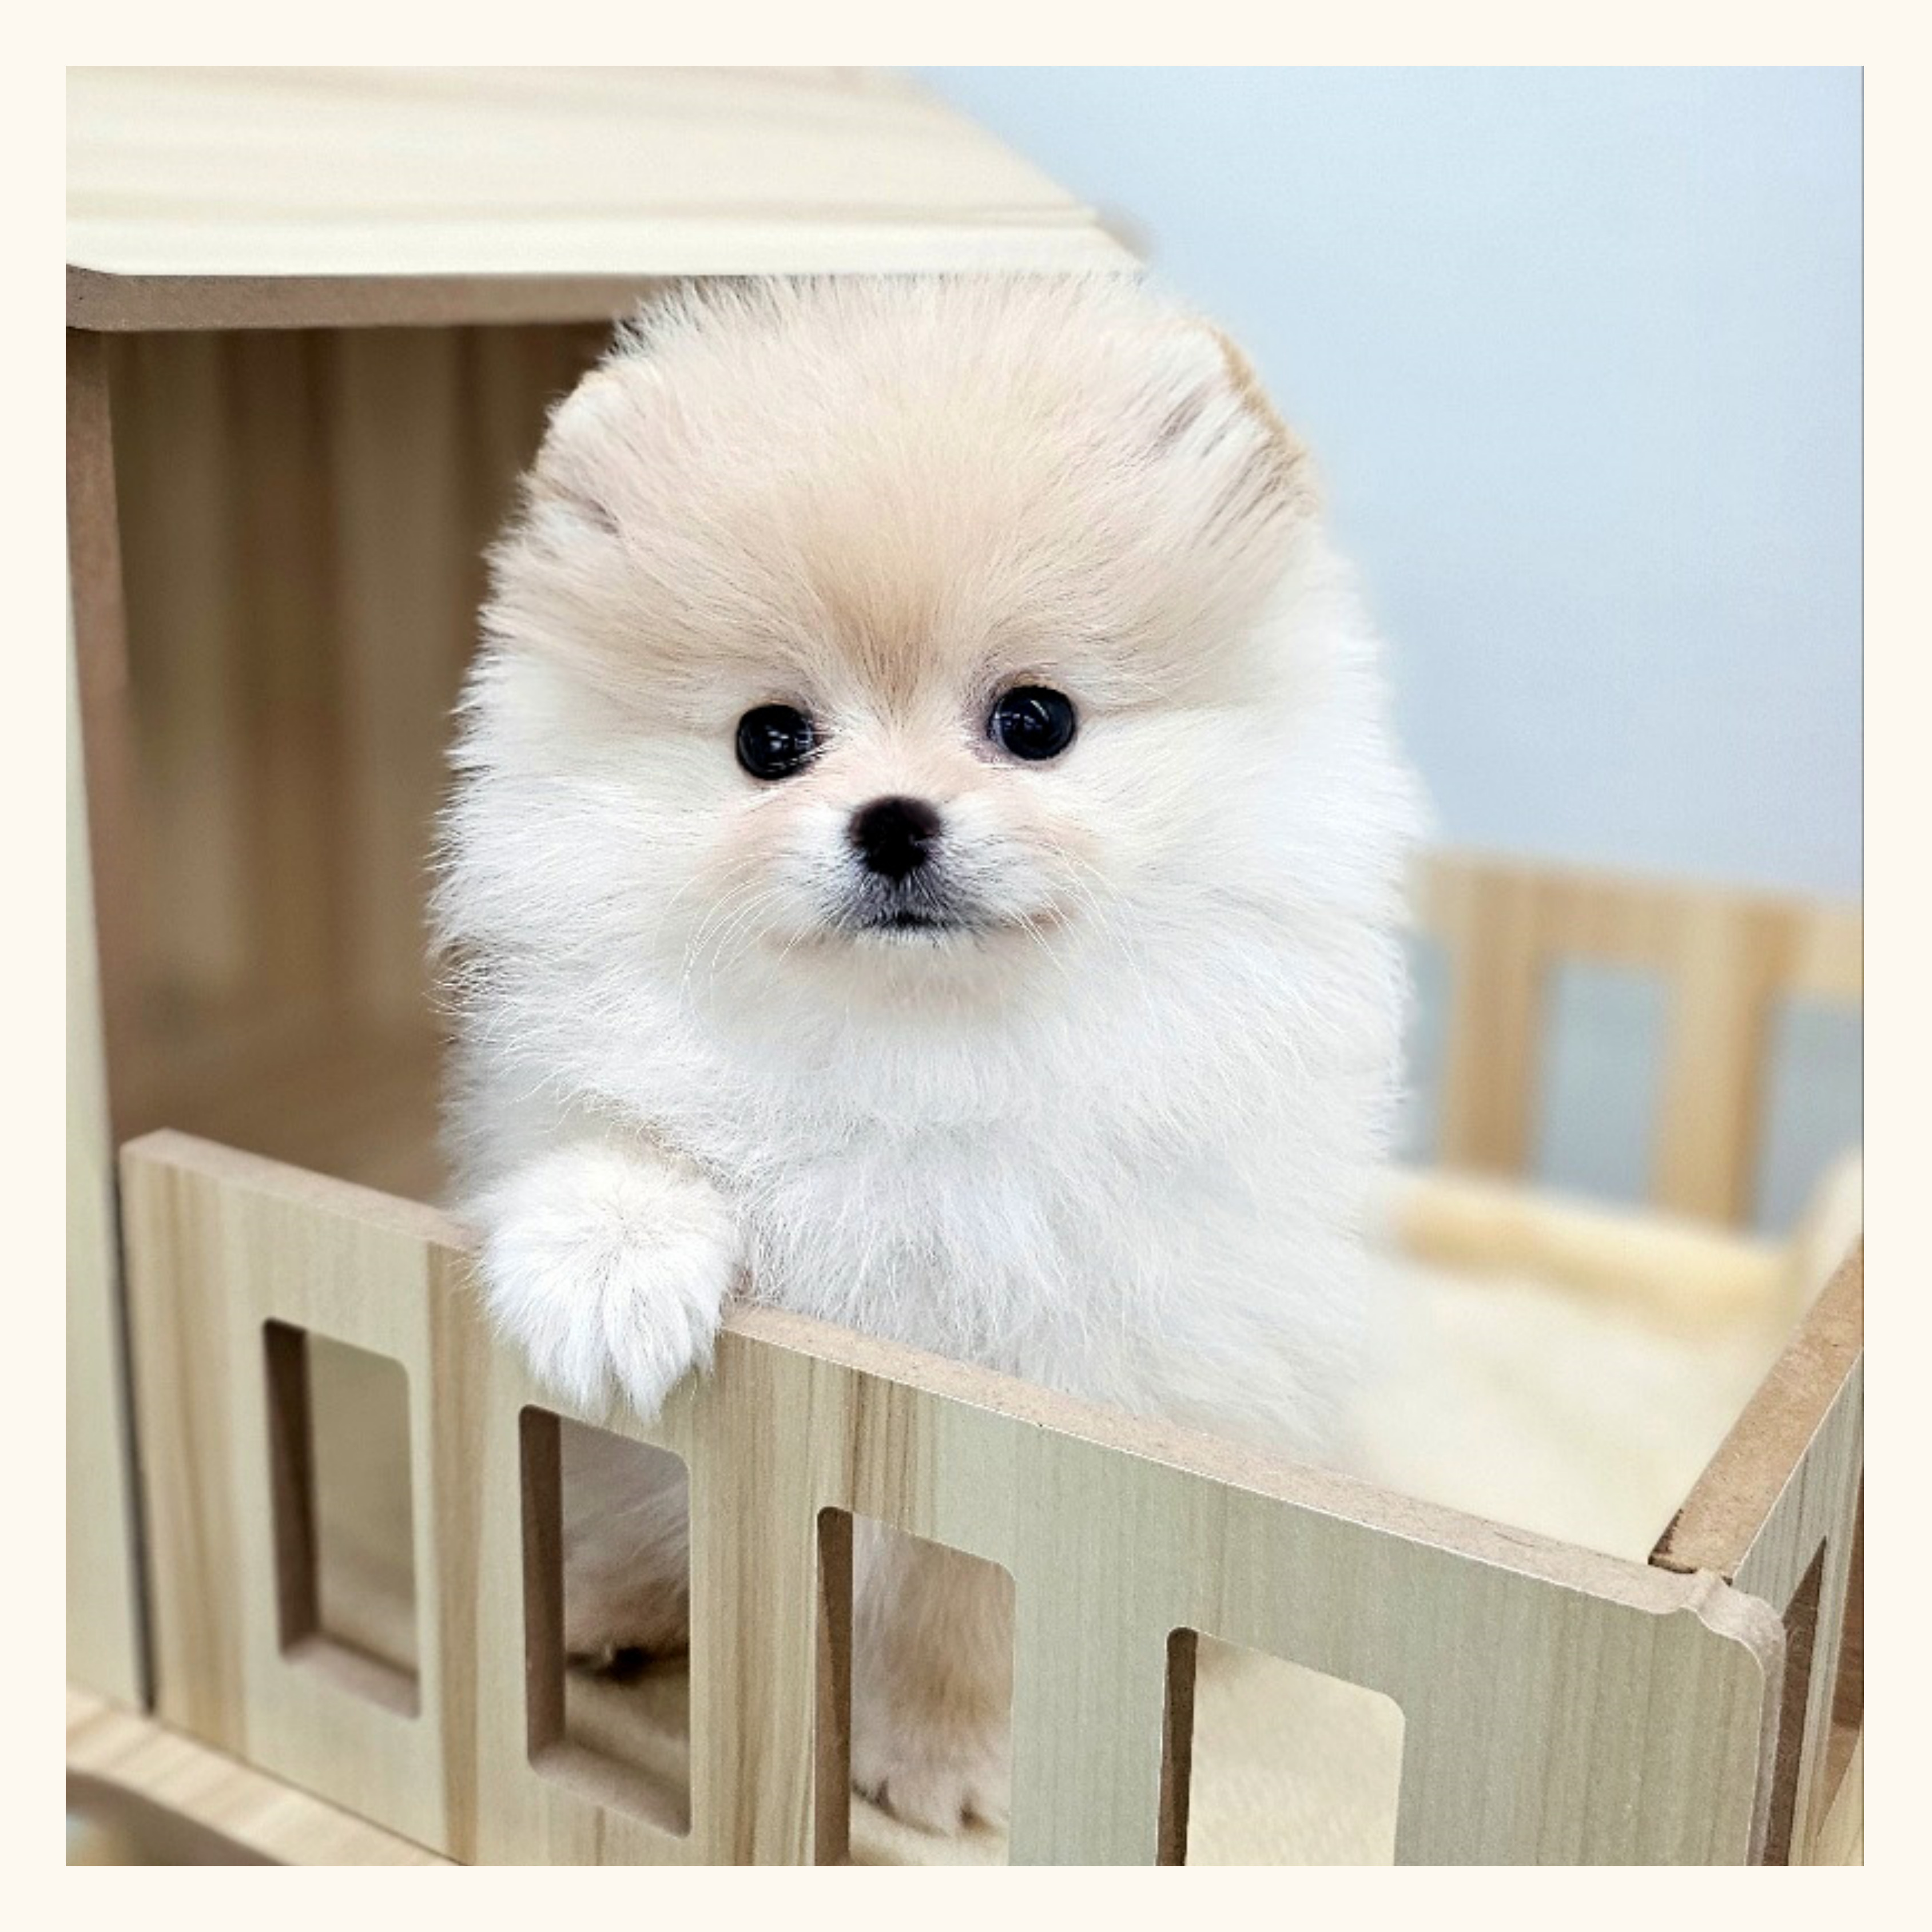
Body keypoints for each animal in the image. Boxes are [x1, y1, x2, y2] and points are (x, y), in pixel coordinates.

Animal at [435, 274, 1421, 1833]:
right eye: (770, 740)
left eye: (1034, 719)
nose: (893, 818)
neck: (920, 1054)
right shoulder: (572, 1074)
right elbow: (613, 1145)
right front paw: (605, 1270)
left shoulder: (1048, 1379)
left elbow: (967, 1579)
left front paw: (939, 1755)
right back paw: (604, 1598)